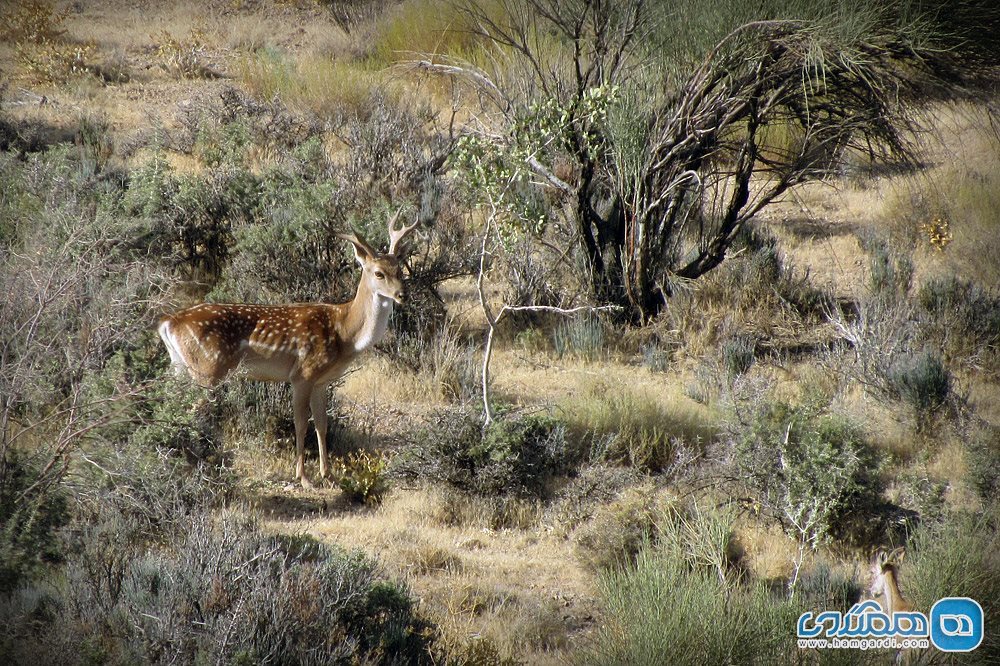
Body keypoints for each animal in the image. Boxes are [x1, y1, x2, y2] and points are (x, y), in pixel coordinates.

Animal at [160, 210, 418, 486]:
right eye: (379, 273)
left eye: (400, 269)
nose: (402, 295)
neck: (344, 332)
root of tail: (169, 322)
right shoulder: (302, 373)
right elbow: (301, 423)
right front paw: (303, 478)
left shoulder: (322, 381)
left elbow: (322, 424)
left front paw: (328, 475)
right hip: (207, 369)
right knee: (191, 410)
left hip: (180, 366)